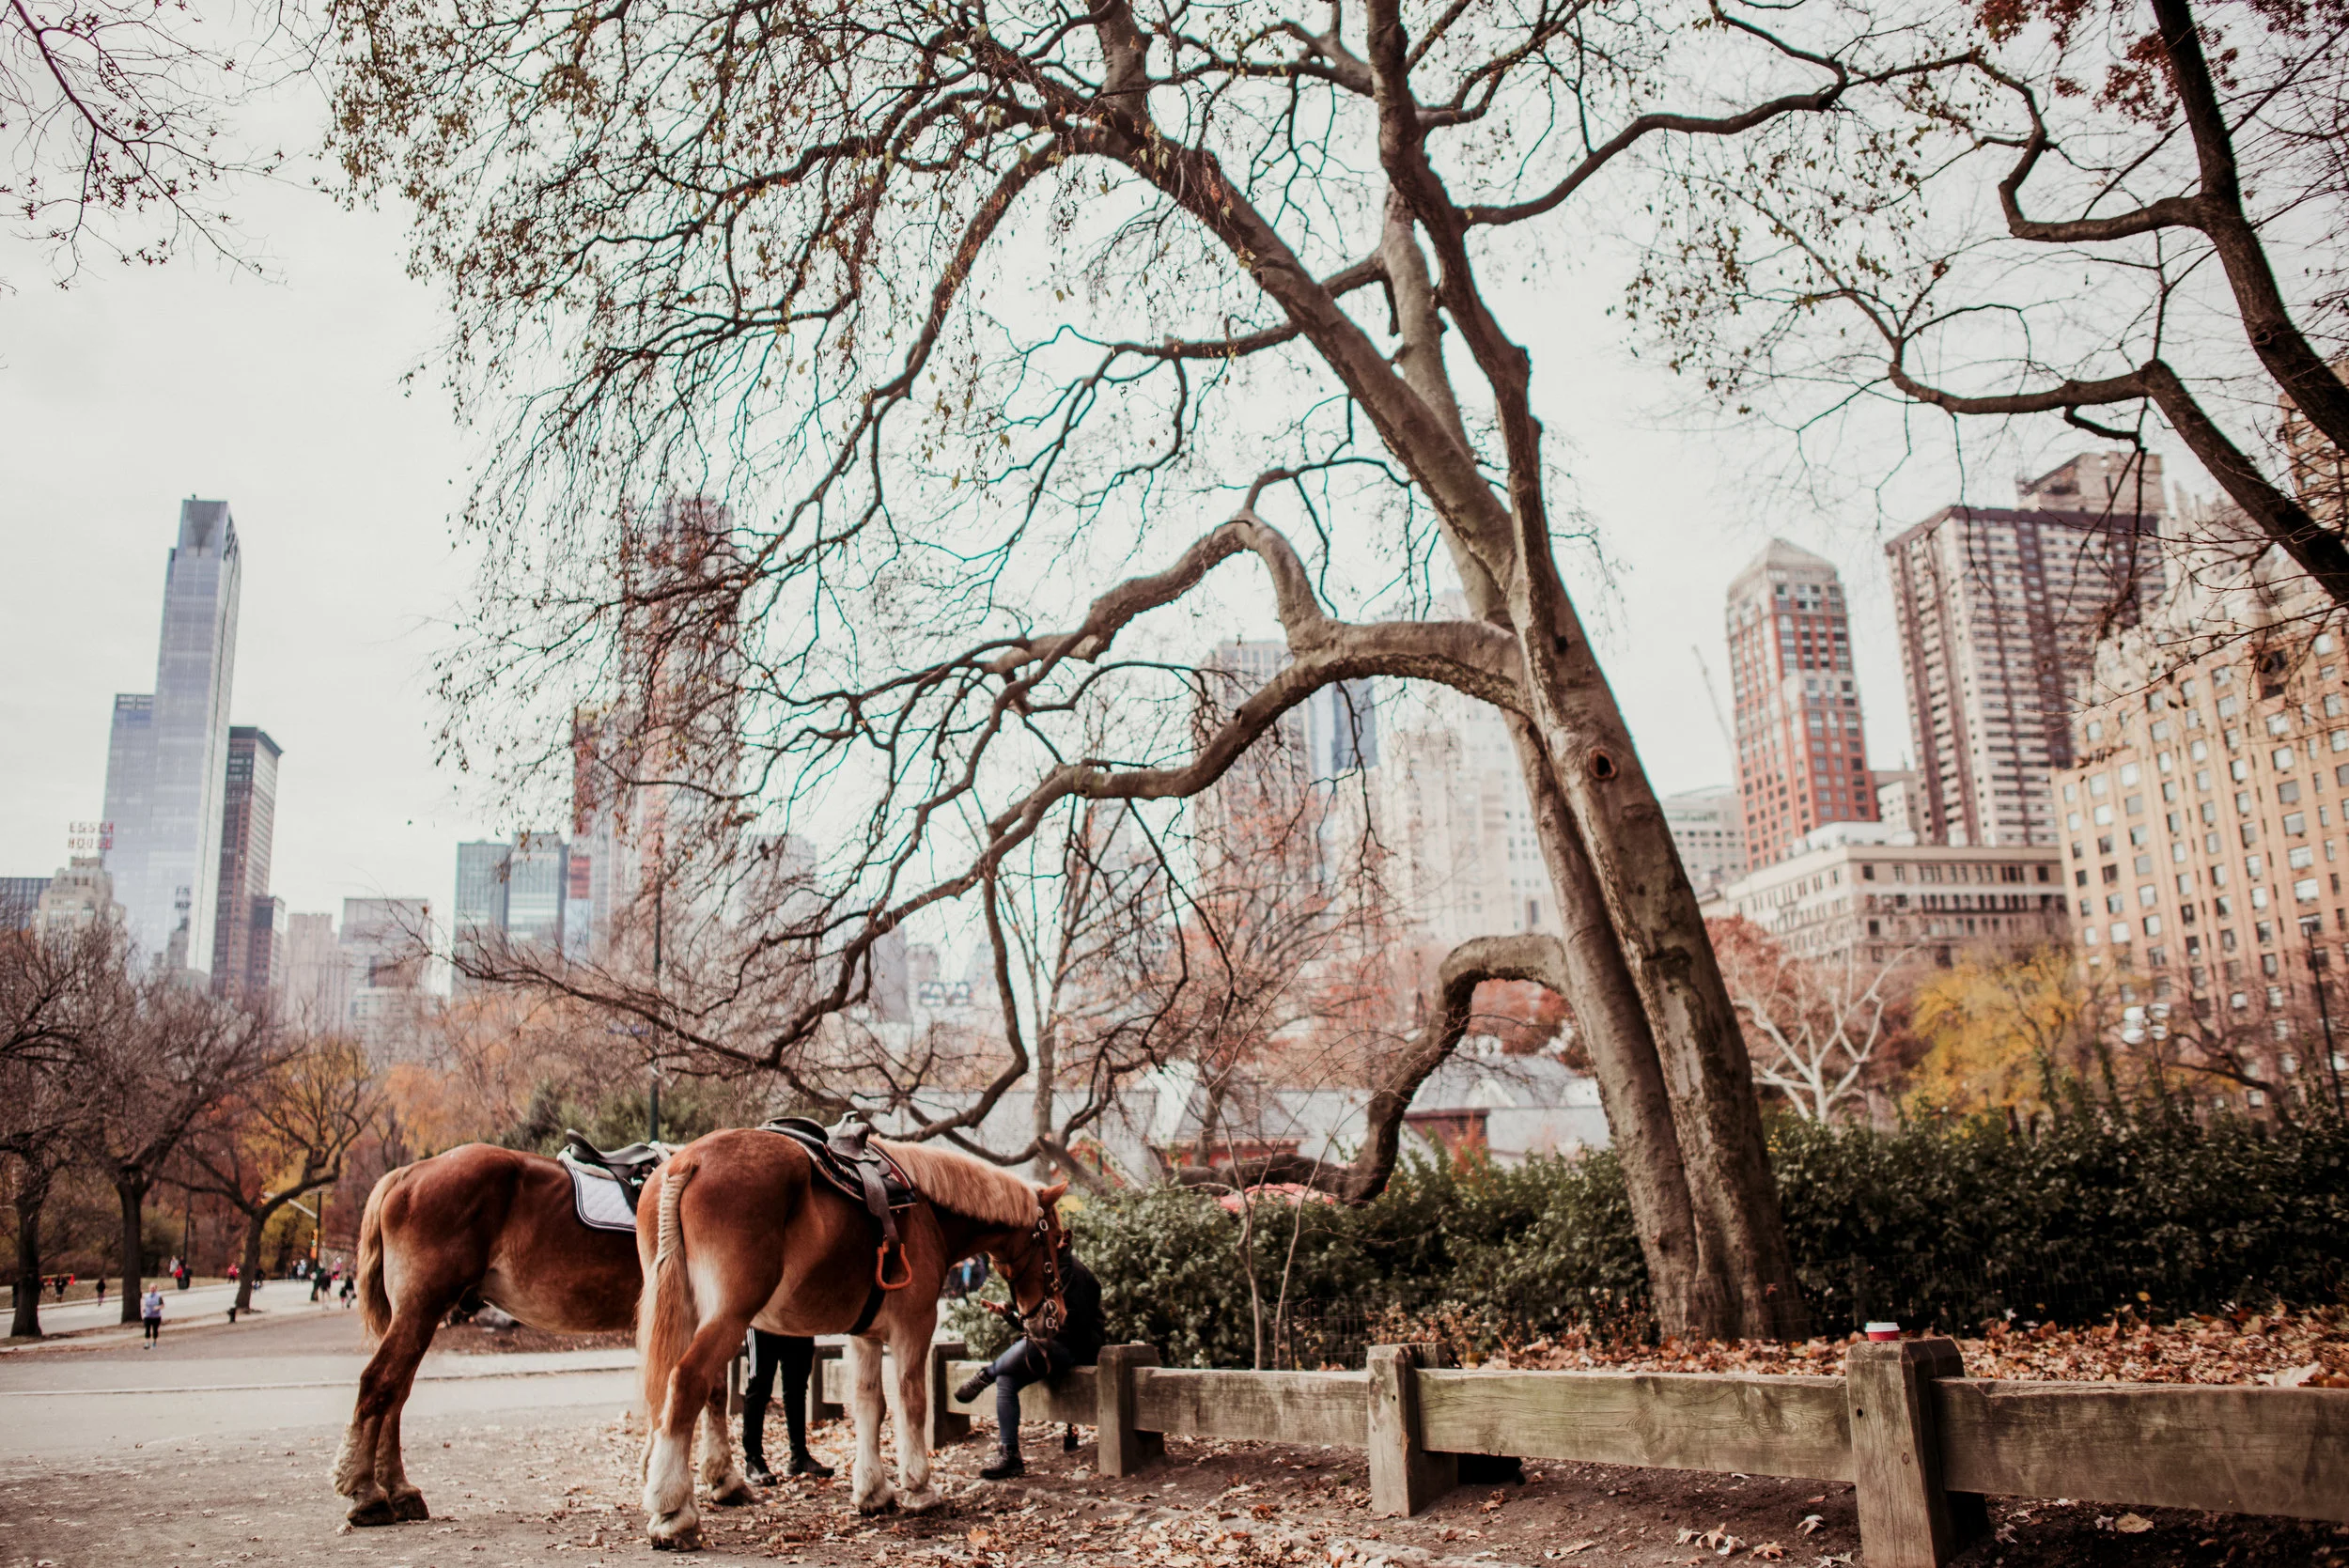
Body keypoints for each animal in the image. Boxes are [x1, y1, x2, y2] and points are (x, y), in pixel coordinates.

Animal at [334, 1144, 741, 1527]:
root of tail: (407, 1175)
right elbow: (711, 1389)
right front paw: (724, 1477)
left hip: (414, 1316)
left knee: (395, 1393)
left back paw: (399, 1490)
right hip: (420, 1310)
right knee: (380, 1383)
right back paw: (367, 1493)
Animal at [635, 1128, 1069, 1549]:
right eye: (1059, 1239)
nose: (1058, 1314)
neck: (928, 1210)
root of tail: (687, 1160)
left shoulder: (865, 1336)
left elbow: (868, 1404)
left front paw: (873, 1490)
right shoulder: (915, 1326)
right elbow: (912, 1401)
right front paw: (919, 1486)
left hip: (687, 1314)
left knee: (693, 1394)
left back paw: (709, 1485)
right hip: (728, 1318)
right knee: (687, 1383)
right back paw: (674, 1511)